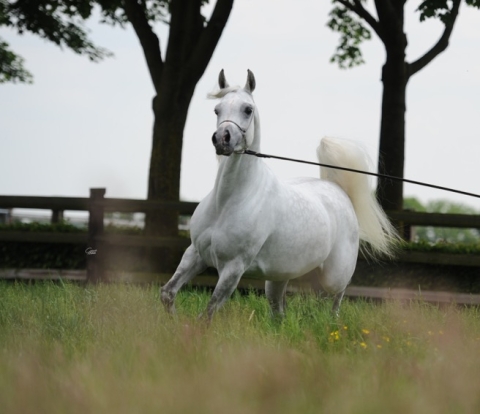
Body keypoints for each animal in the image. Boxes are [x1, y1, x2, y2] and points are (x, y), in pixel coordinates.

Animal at [161, 69, 397, 321]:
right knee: (280, 312)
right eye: (217, 109)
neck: (226, 203)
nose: (222, 139)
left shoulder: (233, 267)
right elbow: (168, 293)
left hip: (333, 276)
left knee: (336, 298)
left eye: (248, 109)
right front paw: (174, 322)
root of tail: (338, 190)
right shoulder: (195, 254)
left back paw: (332, 322)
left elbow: (208, 313)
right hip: (278, 278)